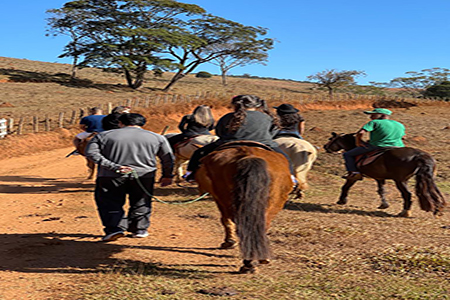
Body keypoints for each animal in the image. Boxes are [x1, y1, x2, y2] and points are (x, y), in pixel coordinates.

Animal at [196, 143, 292, 274]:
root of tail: (249, 156)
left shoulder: (219, 199)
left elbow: (225, 220)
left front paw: (229, 242)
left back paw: (250, 262)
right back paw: (254, 261)